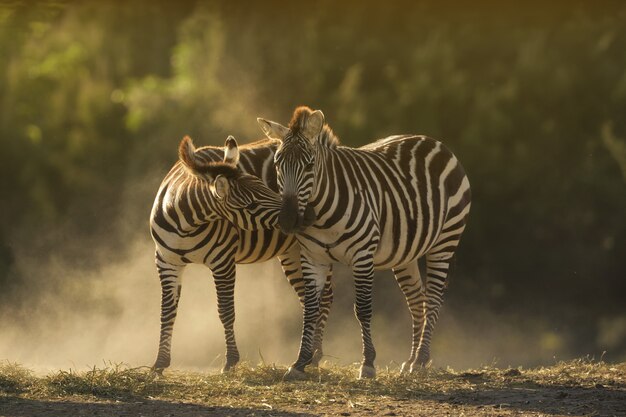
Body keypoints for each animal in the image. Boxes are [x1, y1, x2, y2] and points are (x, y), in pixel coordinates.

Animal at [149, 135, 334, 372]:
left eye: (266, 186)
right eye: (251, 205)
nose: (308, 216)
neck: (186, 224)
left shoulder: (223, 261)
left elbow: (226, 311)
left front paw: (230, 361)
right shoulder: (166, 262)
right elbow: (166, 312)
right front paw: (160, 363)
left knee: (325, 297)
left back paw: (316, 354)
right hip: (292, 251)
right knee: (309, 298)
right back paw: (309, 354)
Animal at [256, 106, 470, 376]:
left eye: (310, 165)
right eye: (277, 164)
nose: (288, 220)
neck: (322, 214)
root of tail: (433, 141)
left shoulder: (362, 255)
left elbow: (363, 309)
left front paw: (368, 363)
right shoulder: (312, 258)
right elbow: (310, 309)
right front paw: (300, 362)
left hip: (445, 240)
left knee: (432, 298)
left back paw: (420, 360)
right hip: (405, 254)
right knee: (416, 300)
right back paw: (411, 360)